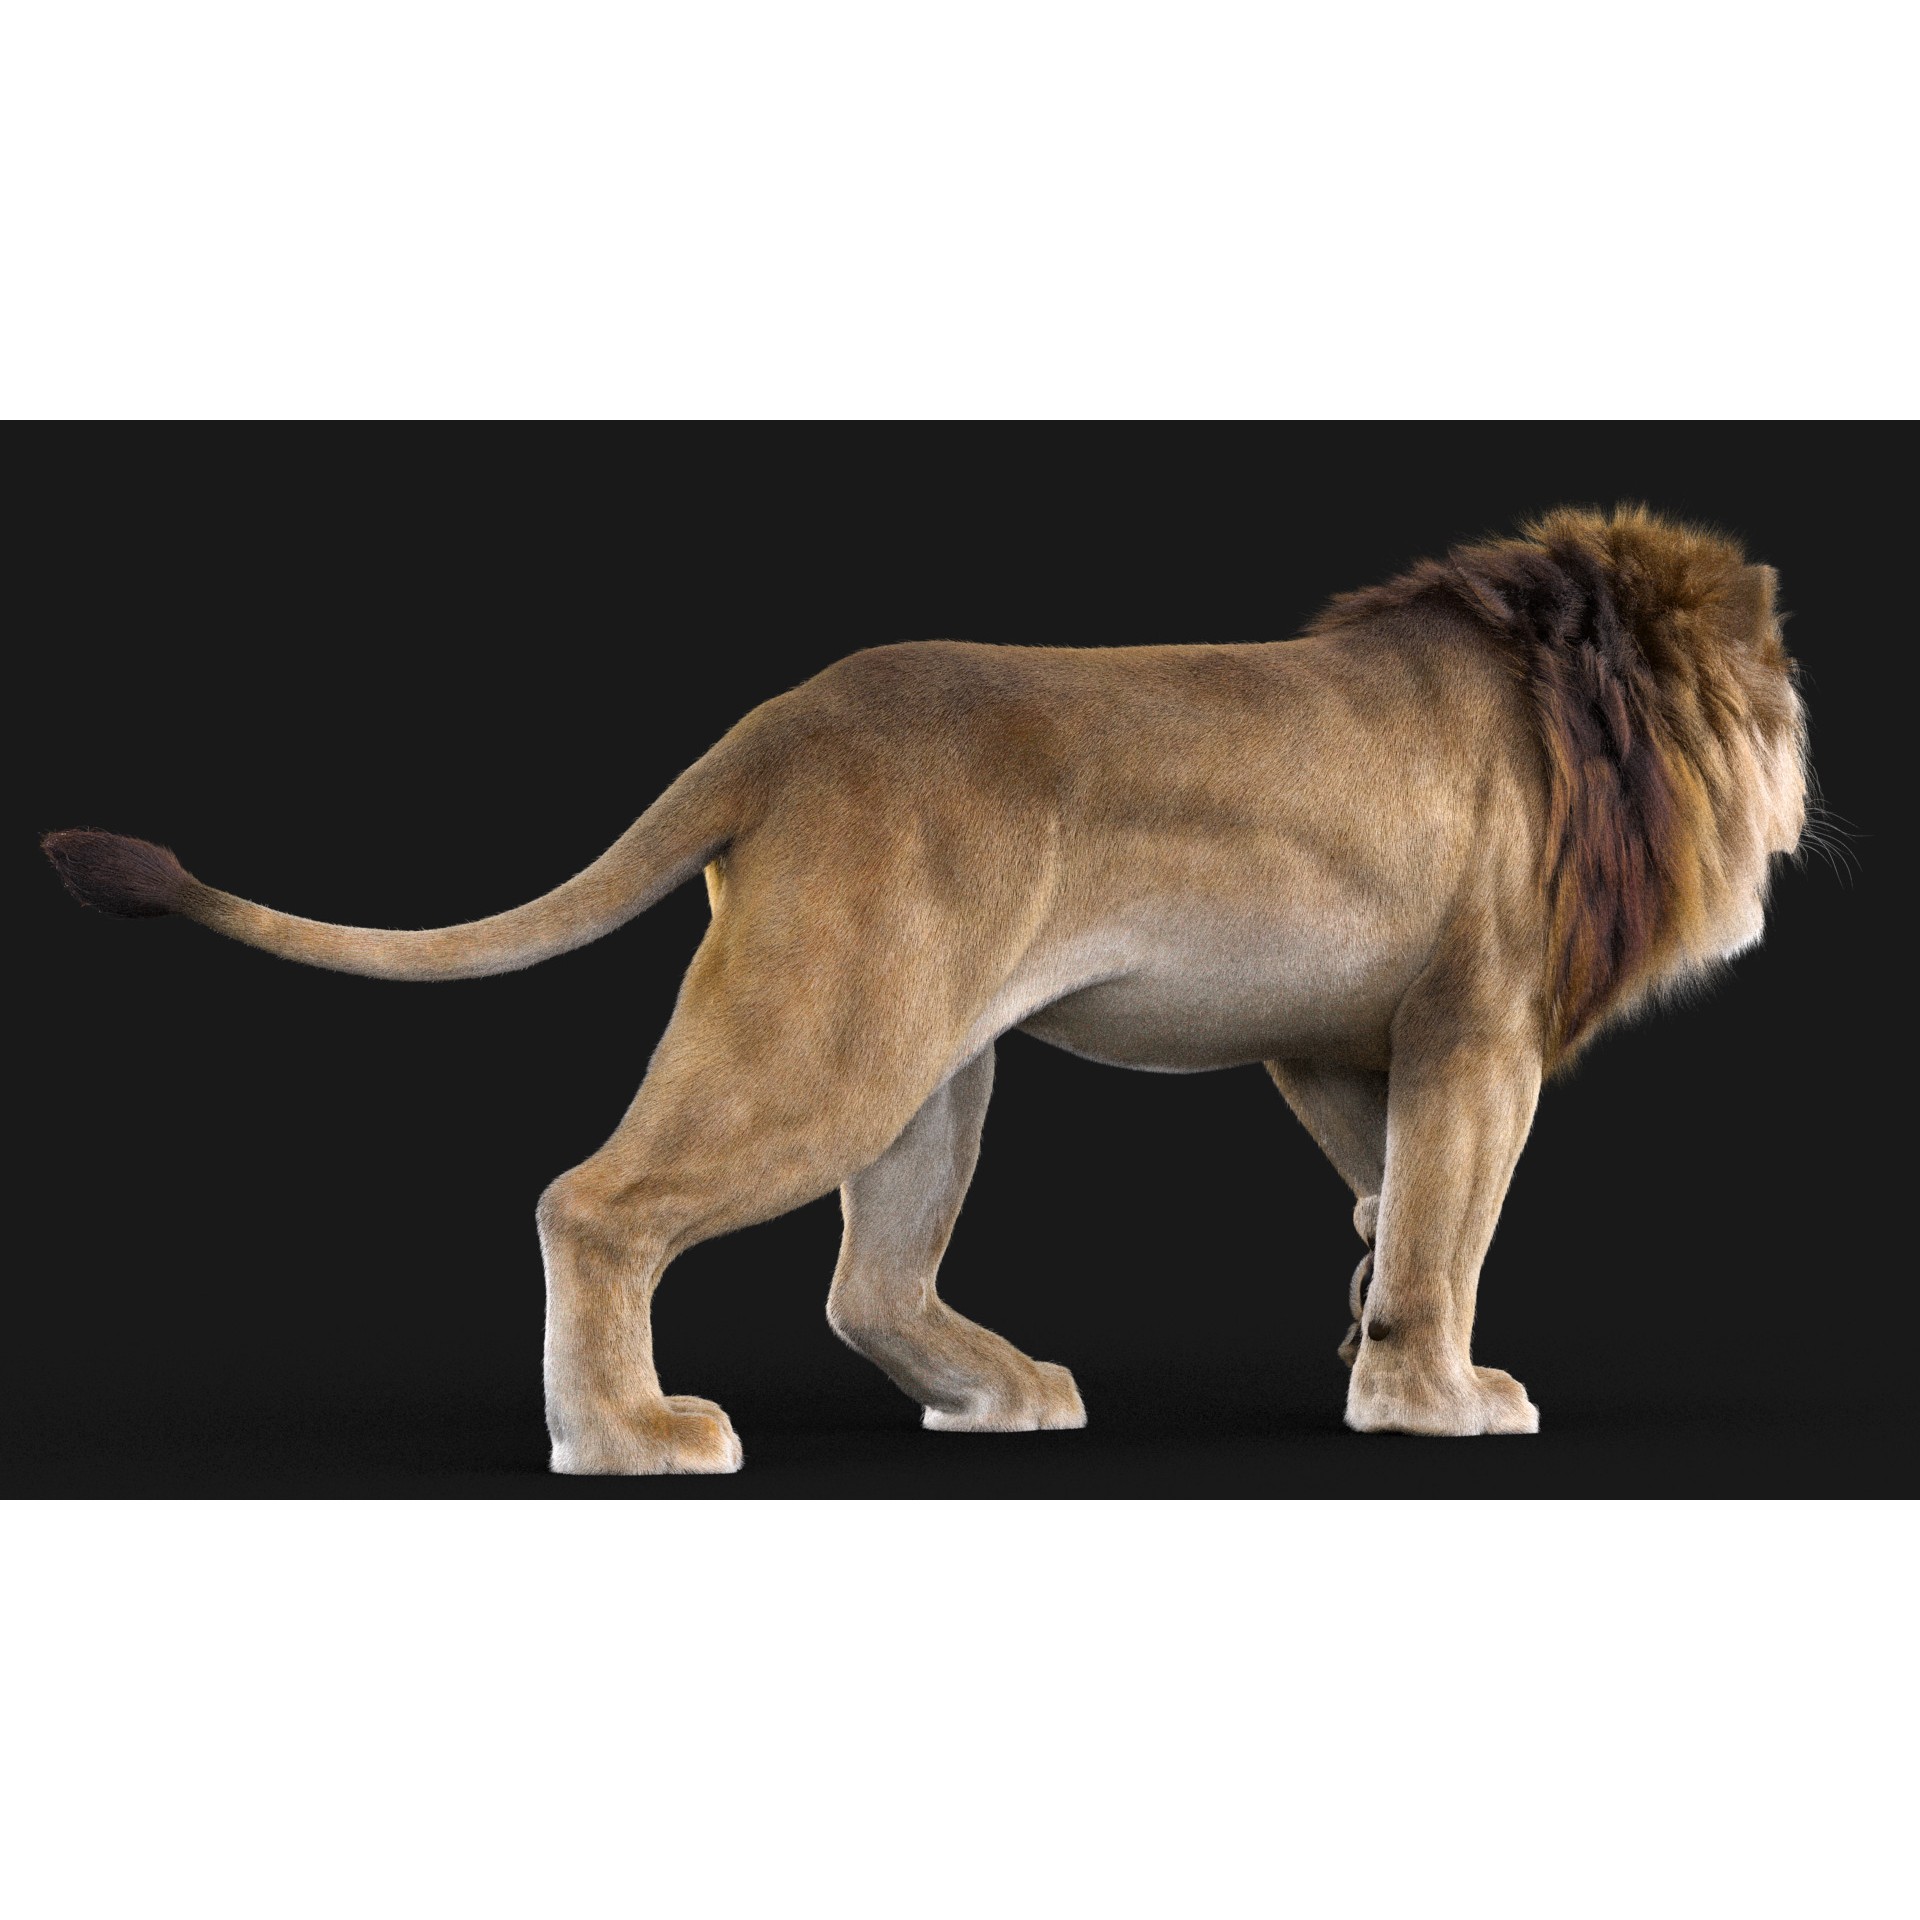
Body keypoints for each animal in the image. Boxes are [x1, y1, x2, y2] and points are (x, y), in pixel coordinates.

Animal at [42, 506, 1809, 1474]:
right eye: (1782, 687)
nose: (1810, 761)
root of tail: (783, 722)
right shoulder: (1480, 1024)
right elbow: (1453, 1226)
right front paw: (1442, 1397)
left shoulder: (1332, 1033)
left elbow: (1393, 1197)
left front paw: (1375, 1344)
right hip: (841, 1040)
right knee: (593, 1208)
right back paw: (626, 1437)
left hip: (932, 1059)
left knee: (867, 1286)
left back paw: (1001, 1393)